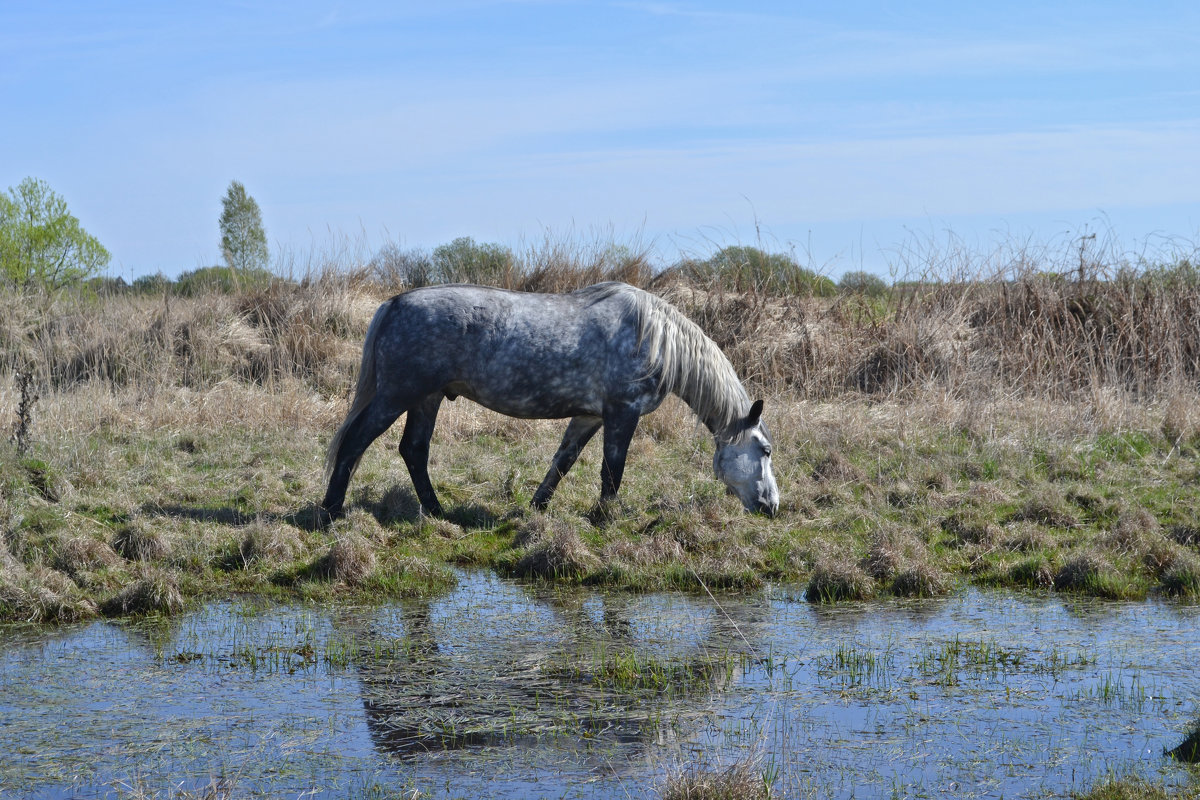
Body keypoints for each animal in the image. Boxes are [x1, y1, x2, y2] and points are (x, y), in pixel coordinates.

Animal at [319, 281, 782, 520]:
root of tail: (393, 304)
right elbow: (612, 470)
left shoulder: (589, 417)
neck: (654, 339)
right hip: (397, 394)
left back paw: (436, 511)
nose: (772, 506)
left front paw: (537, 507)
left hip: (426, 398)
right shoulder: (622, 413)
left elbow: (563, 461)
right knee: (356, 442)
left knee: (413, 450)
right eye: (765, 449)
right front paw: (606, 518)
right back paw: (331, 510)